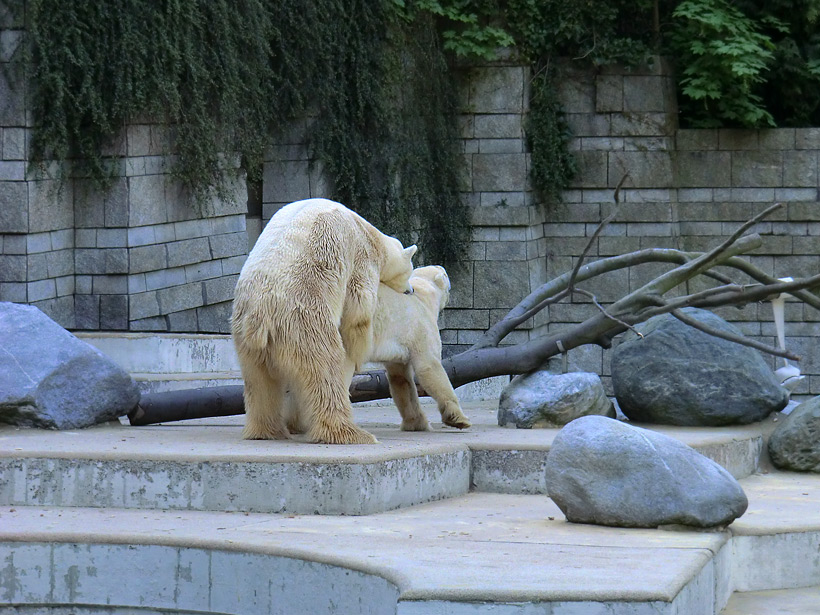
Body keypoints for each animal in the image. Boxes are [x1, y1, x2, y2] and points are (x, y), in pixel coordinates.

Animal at [231, 200, 416, 446]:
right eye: (410, 270)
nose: (411, 290)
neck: (368, 231)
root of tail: (260, 317)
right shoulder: (361, 253)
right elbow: (358, 306)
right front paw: (360, 351)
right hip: (304, 320)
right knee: (325, 368)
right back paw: (351, 434)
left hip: (245, 335)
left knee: (259, 381)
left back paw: (266, 430)